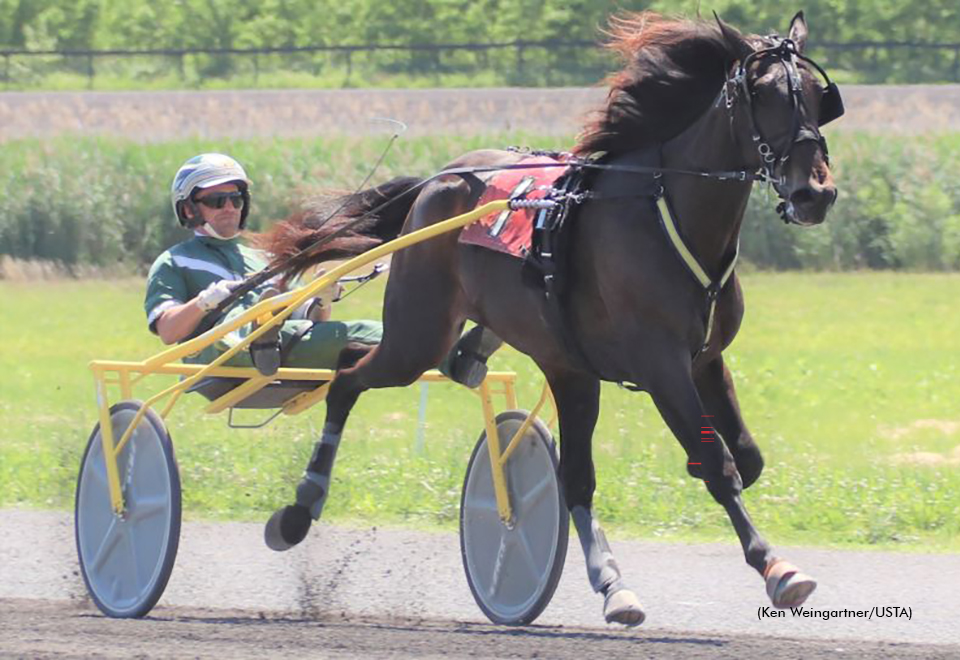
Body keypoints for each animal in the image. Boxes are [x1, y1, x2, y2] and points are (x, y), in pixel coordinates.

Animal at [253, 12, 840, 628]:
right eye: (765, 94)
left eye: (818, 94)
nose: (814, 192)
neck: (667, 211)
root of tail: (439, 179)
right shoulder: (661, 365)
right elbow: (718, 461)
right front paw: (777, 568)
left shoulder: (705, 360)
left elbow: (745, 457)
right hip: (419, 332)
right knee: (347, 378)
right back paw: (298, 511)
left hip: (560, 365)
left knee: (570, 472)